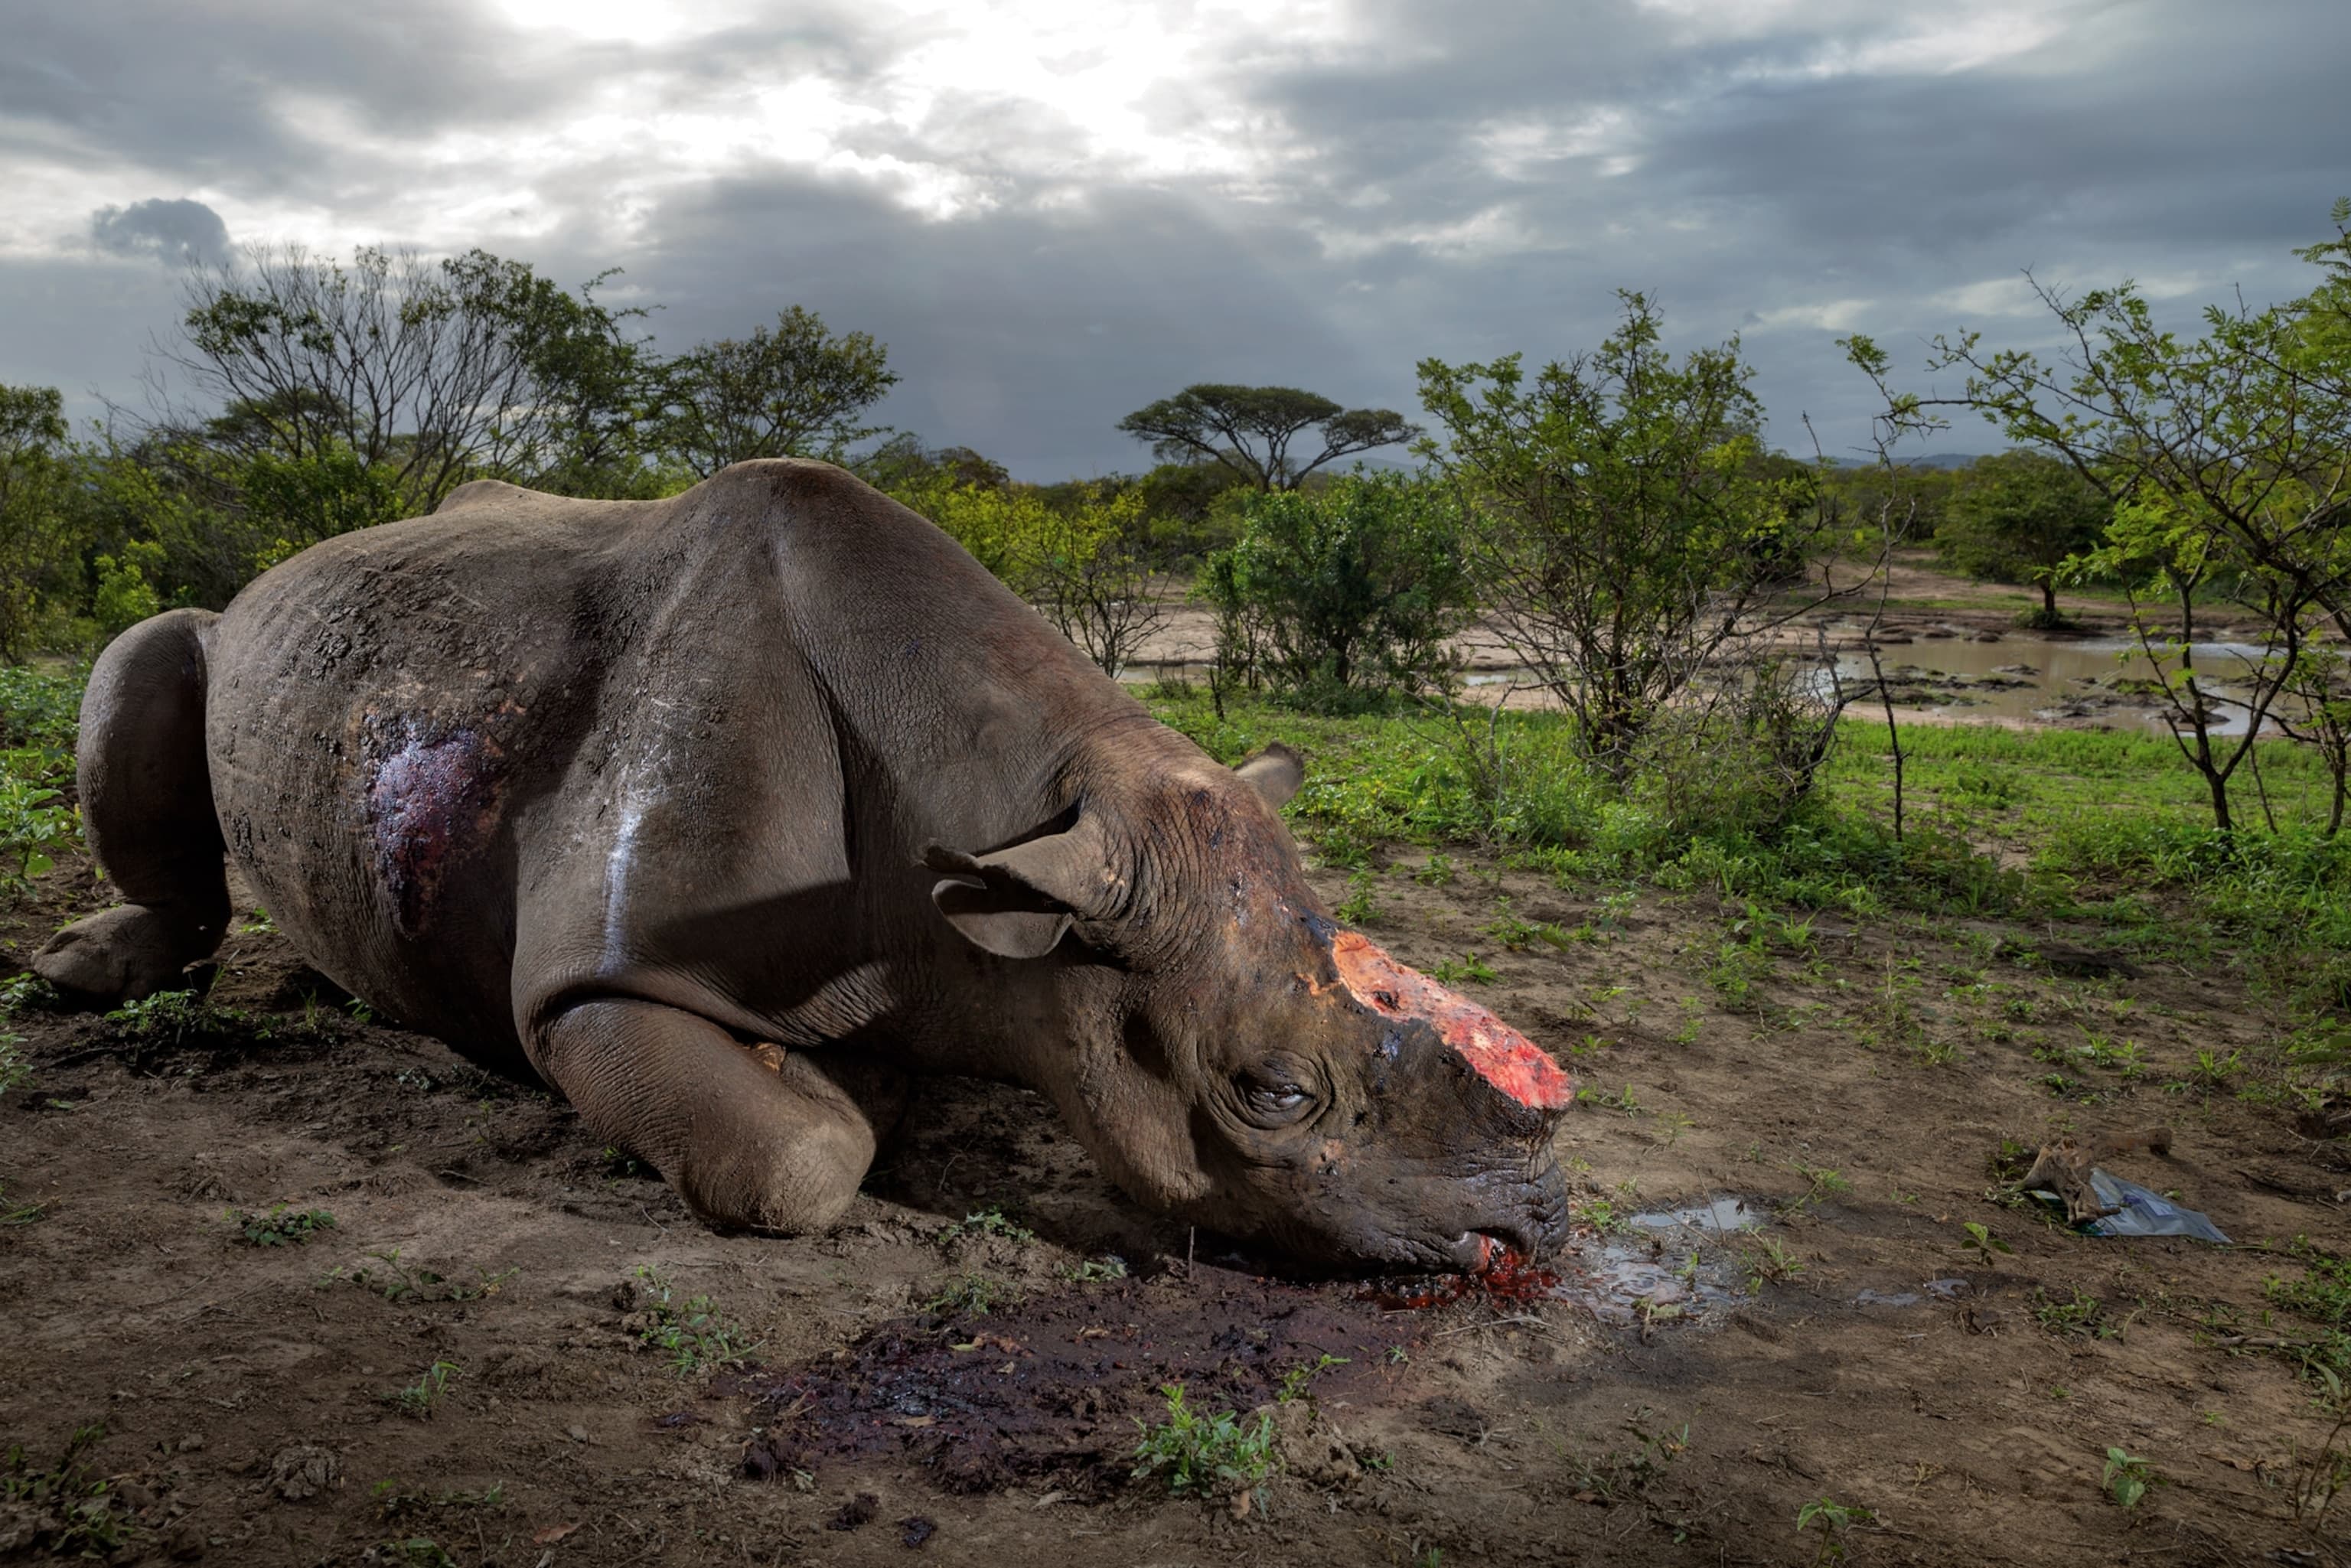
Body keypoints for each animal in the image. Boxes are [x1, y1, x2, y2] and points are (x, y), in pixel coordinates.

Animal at [34, 460, 1573, 1270]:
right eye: (1271, 1094)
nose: (1532, 1230)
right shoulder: (592, 985)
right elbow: (798, 1160)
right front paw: (836, 1094)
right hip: (254, 642)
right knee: (153, 649)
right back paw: (84, 974)